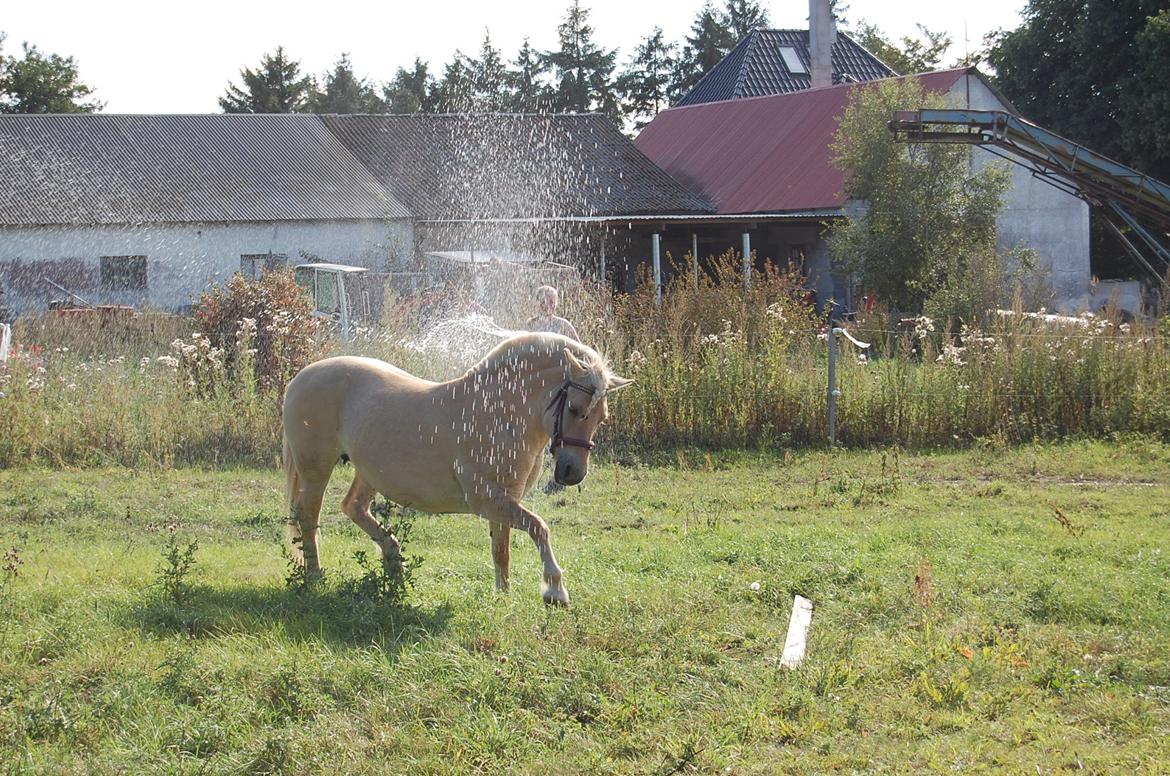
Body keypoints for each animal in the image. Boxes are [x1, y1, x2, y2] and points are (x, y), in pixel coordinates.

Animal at [281, 334, 631, 608]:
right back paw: (315, 577)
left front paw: (503, 596)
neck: (496, 411)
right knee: (308, 517)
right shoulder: (486, 499)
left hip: (367, 472)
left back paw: (395, 563)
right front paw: (555, 590)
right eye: (574, 408)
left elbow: (501, 550)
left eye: (601, 417)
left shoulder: (504, 500)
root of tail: (300, 378)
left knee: (353, 507)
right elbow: (538, 527)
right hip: (315, 470)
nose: (572, 472)